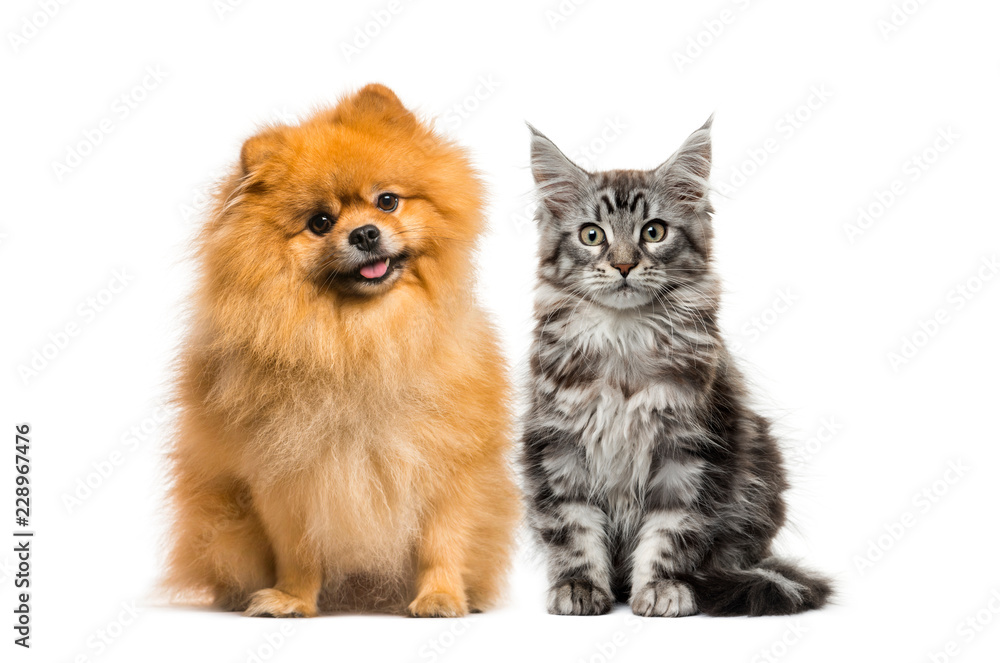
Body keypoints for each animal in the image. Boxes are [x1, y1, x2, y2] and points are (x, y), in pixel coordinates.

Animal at [165, 83, 520, 616]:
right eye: (320, 222)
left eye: (387, 201)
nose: (365, 232)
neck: (361, 338)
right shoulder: (290, 479)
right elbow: (299, 552)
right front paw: (291, 598)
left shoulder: (449, 464)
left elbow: (442, 543)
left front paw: (440, 596)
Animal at [520, 118, 832, 616]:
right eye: (592, 235)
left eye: (654, 232)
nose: (623, 264)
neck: (625, 338)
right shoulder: (558, 444)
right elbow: (573, 528)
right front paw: (578, 587)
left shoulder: (690, 449)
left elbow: (672, 530)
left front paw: (663, 588)